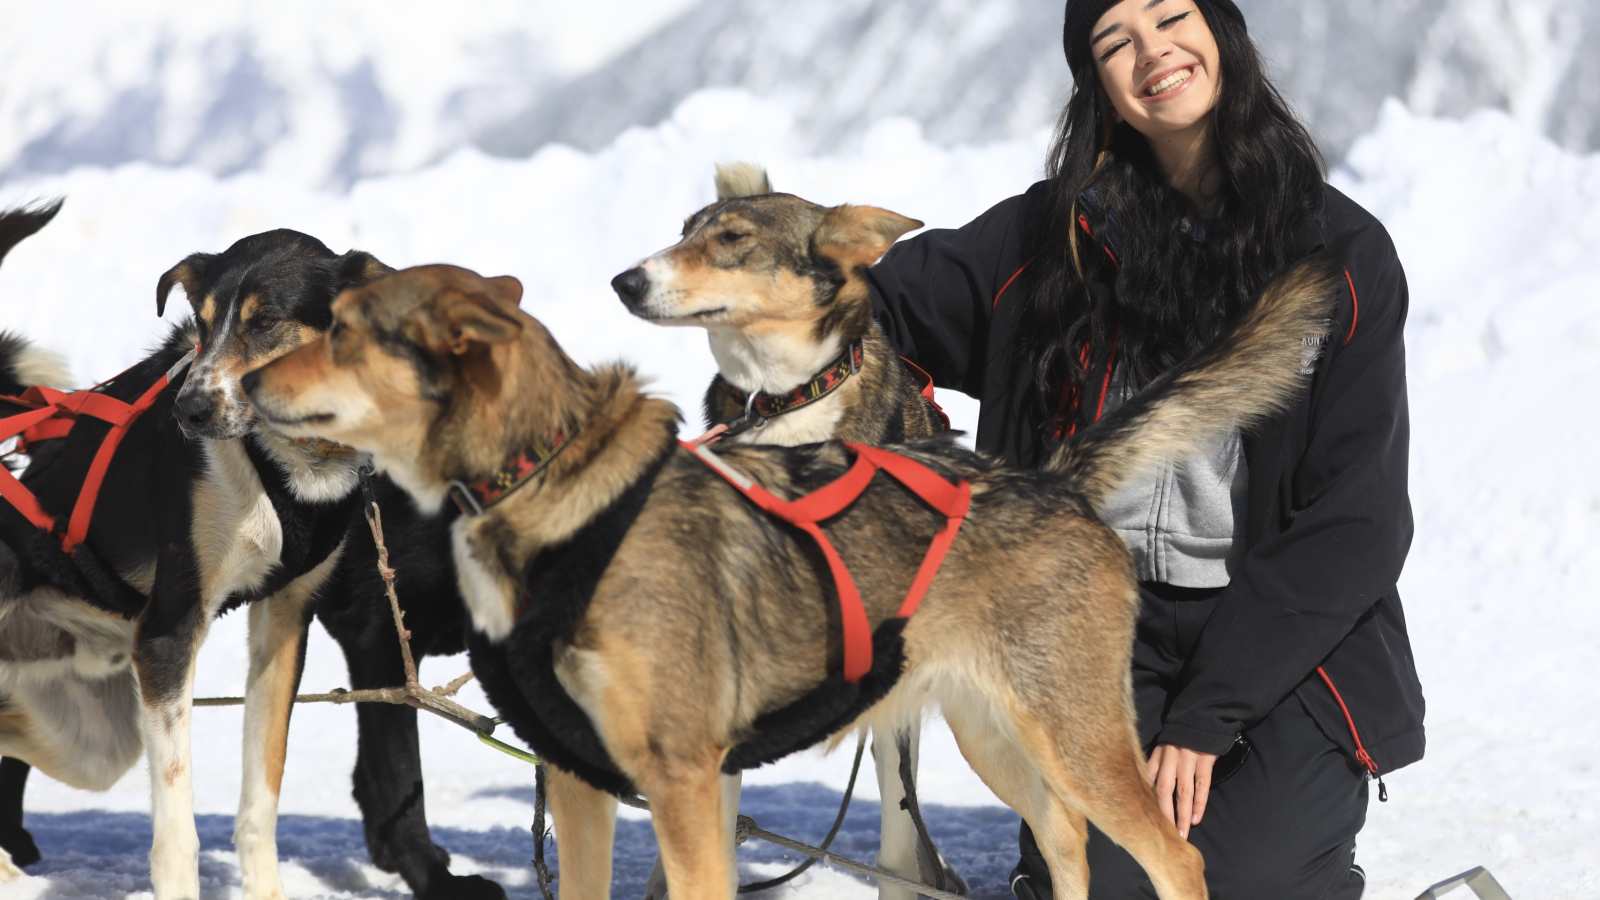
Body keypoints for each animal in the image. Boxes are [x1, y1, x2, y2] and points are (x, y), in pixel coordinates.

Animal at [240, 254, 1337, 896]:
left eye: (342, 332)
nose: (239, 384)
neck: (546, 490)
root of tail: (1051, 477)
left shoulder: (685, 784)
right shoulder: (584, 780)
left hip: (1074, 735)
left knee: (1172, 856)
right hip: (994, 735)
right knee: (1066, 841)